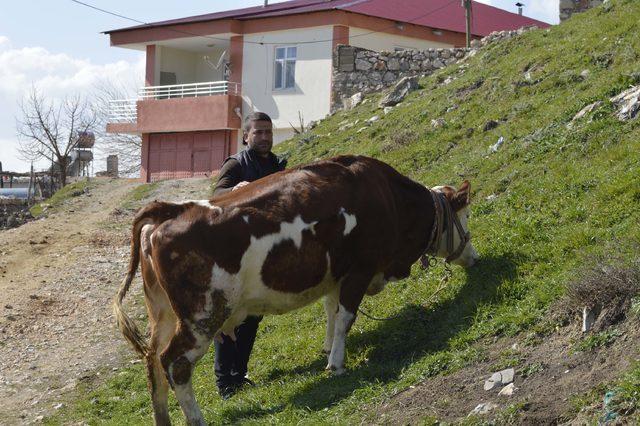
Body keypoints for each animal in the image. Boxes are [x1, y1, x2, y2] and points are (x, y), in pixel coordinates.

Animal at [114, 155, 476, 424]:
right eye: (467, 216)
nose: (473, 258)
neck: (387, 196)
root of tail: (174, 209)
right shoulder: (360, 269)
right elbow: (346, 317)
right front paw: (337, 364)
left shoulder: (337, 273)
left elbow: (331, 311)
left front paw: (328, 349)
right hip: (203, 314)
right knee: (174, 363)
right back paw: (196, 419)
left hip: (162, 313)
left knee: (152, 360)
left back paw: (162, 418)